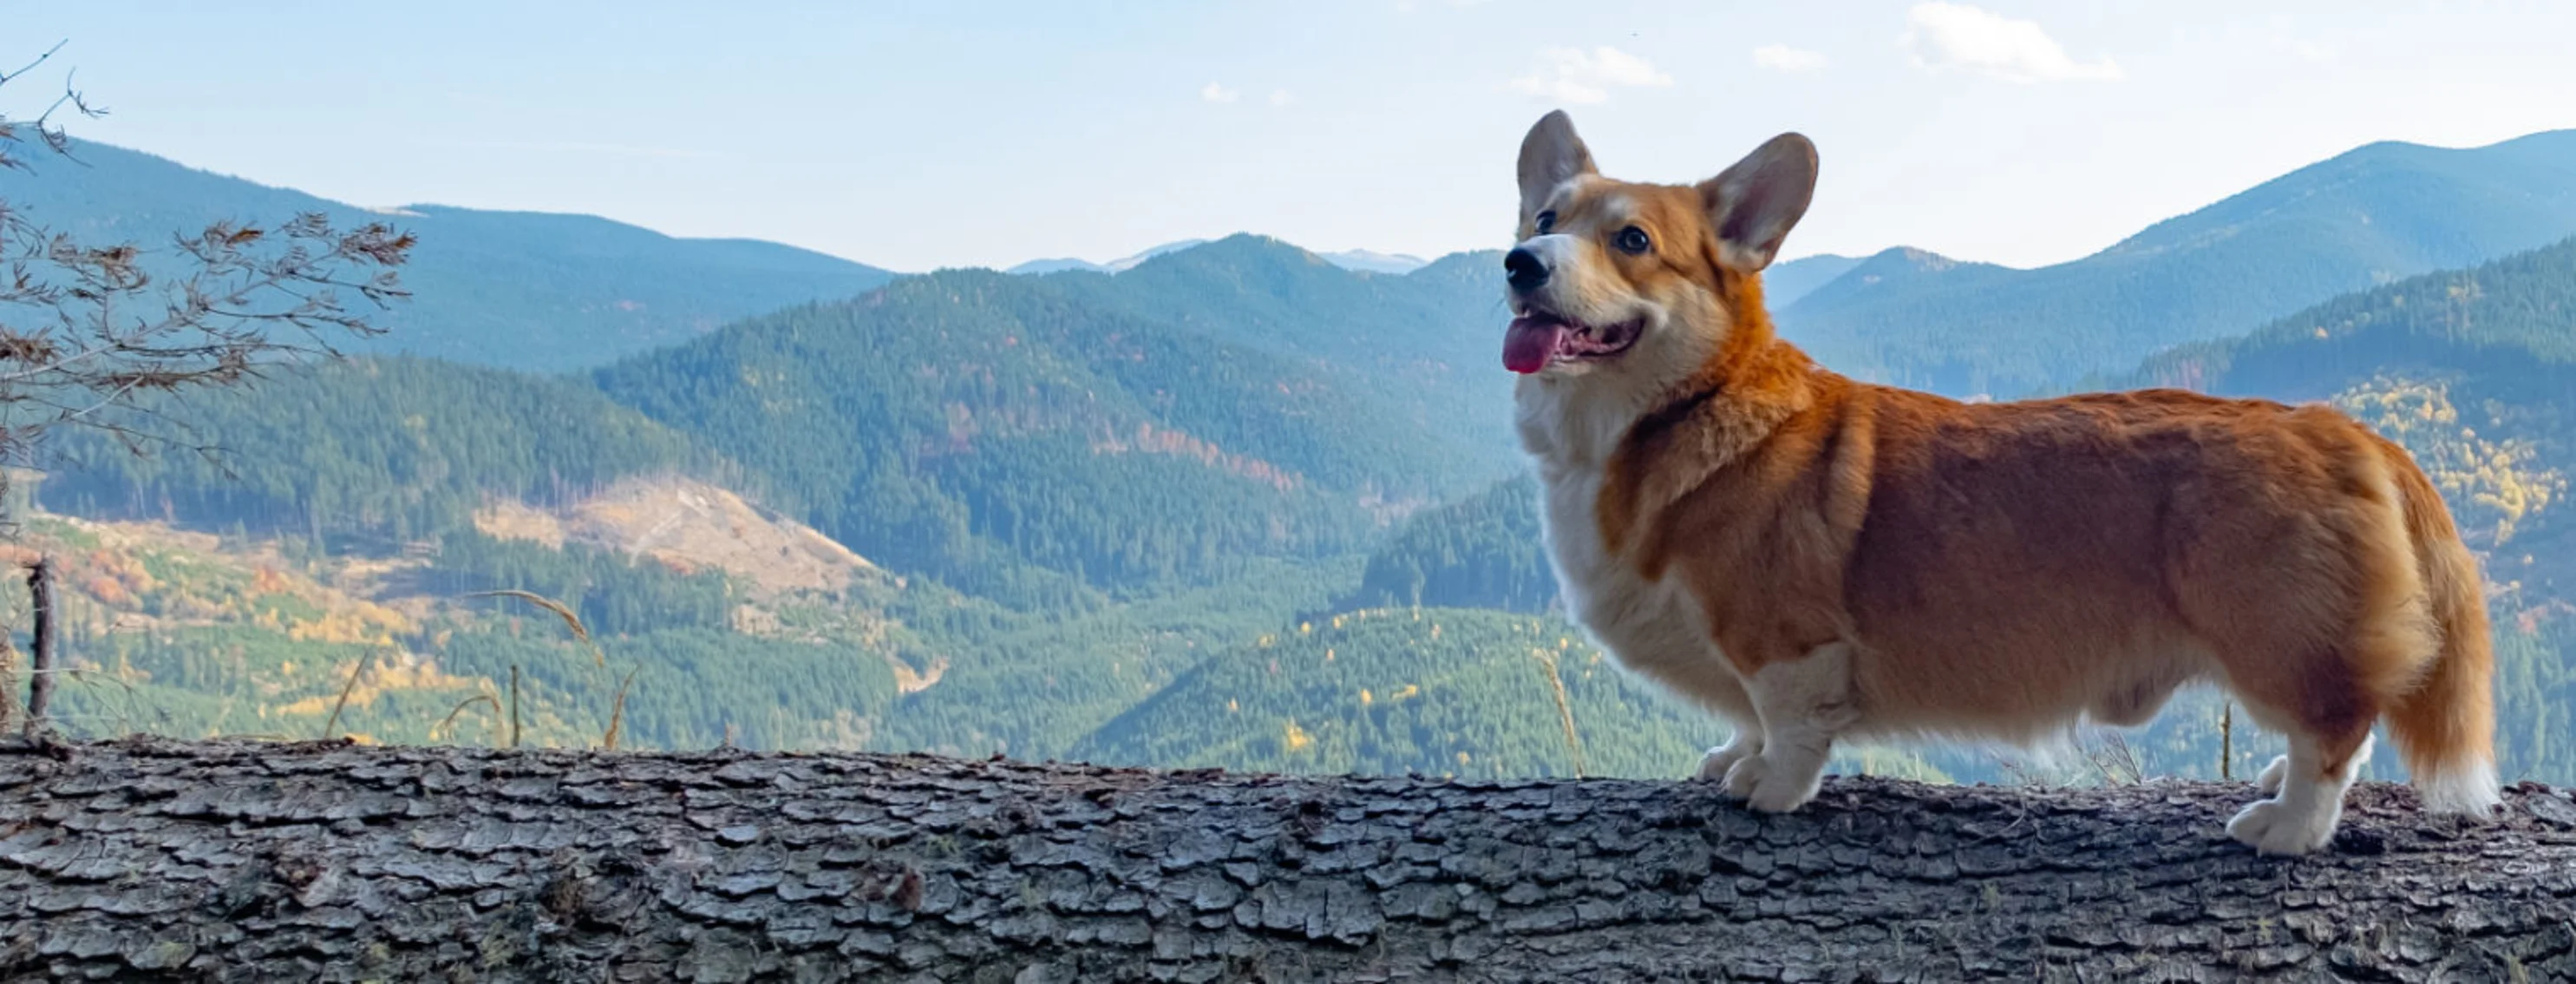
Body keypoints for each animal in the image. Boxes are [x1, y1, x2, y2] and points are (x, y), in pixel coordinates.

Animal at [1504, 105, 2493, 844]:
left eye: (1633, 239)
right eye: (1546, 220)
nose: (1519, 264)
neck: (1675, 412)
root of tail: (2340, 429)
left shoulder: (1784, 638)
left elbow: (1786, 725)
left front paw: (1768, 788)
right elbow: (1744, 714)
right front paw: (1728, 757)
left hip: (2271, 630)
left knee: (2336, 731)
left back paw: (2286, 825)